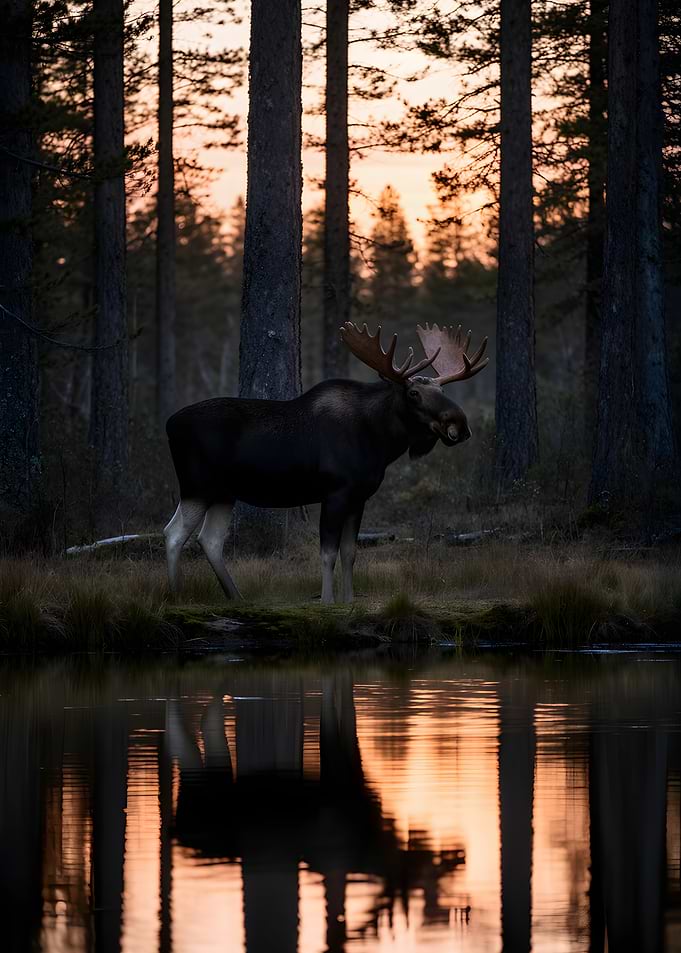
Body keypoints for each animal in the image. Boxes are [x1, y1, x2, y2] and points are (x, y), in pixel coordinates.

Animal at [164, 322, 488, 604]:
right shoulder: (335, 492)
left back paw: (236, 597)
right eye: (414, 393)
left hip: (224, 493)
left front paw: (349, 600)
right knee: (174, 533)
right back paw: (176, 595)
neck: (379, 442)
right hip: (197, 485)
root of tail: (169, 424)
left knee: (210, 540)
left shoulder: (359, 497)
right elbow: (327, 552)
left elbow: (349, 552)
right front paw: (328, 601)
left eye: (442, 391)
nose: (460, 425)